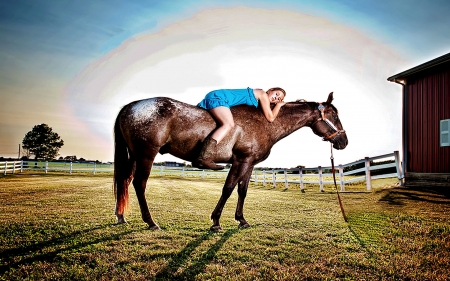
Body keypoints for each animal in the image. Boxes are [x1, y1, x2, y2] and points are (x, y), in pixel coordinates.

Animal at [112, 91, 348, 229]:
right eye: (335, 116)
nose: (343, 141)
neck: (265, 121)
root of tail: (131, 106)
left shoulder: (249, 163)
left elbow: (242, 190)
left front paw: (241, 220)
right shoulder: (240, 161)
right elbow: (228, 188)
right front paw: (216, 221)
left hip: (134, 156)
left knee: (125, 181)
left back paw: (121, 216)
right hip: (146, 154)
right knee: (139, 184)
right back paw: (150, 222)